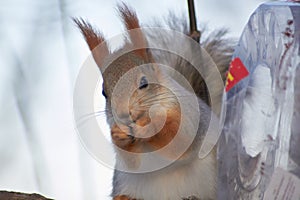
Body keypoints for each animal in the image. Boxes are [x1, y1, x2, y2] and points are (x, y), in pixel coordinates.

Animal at [74, 2, 233, 199]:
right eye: (104, 92)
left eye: (144, 82)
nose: (122, 114)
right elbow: (133, 162)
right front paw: (118, 136)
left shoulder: (189, 116)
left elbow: (178, 140)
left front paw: (151, 127)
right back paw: (125, 197)